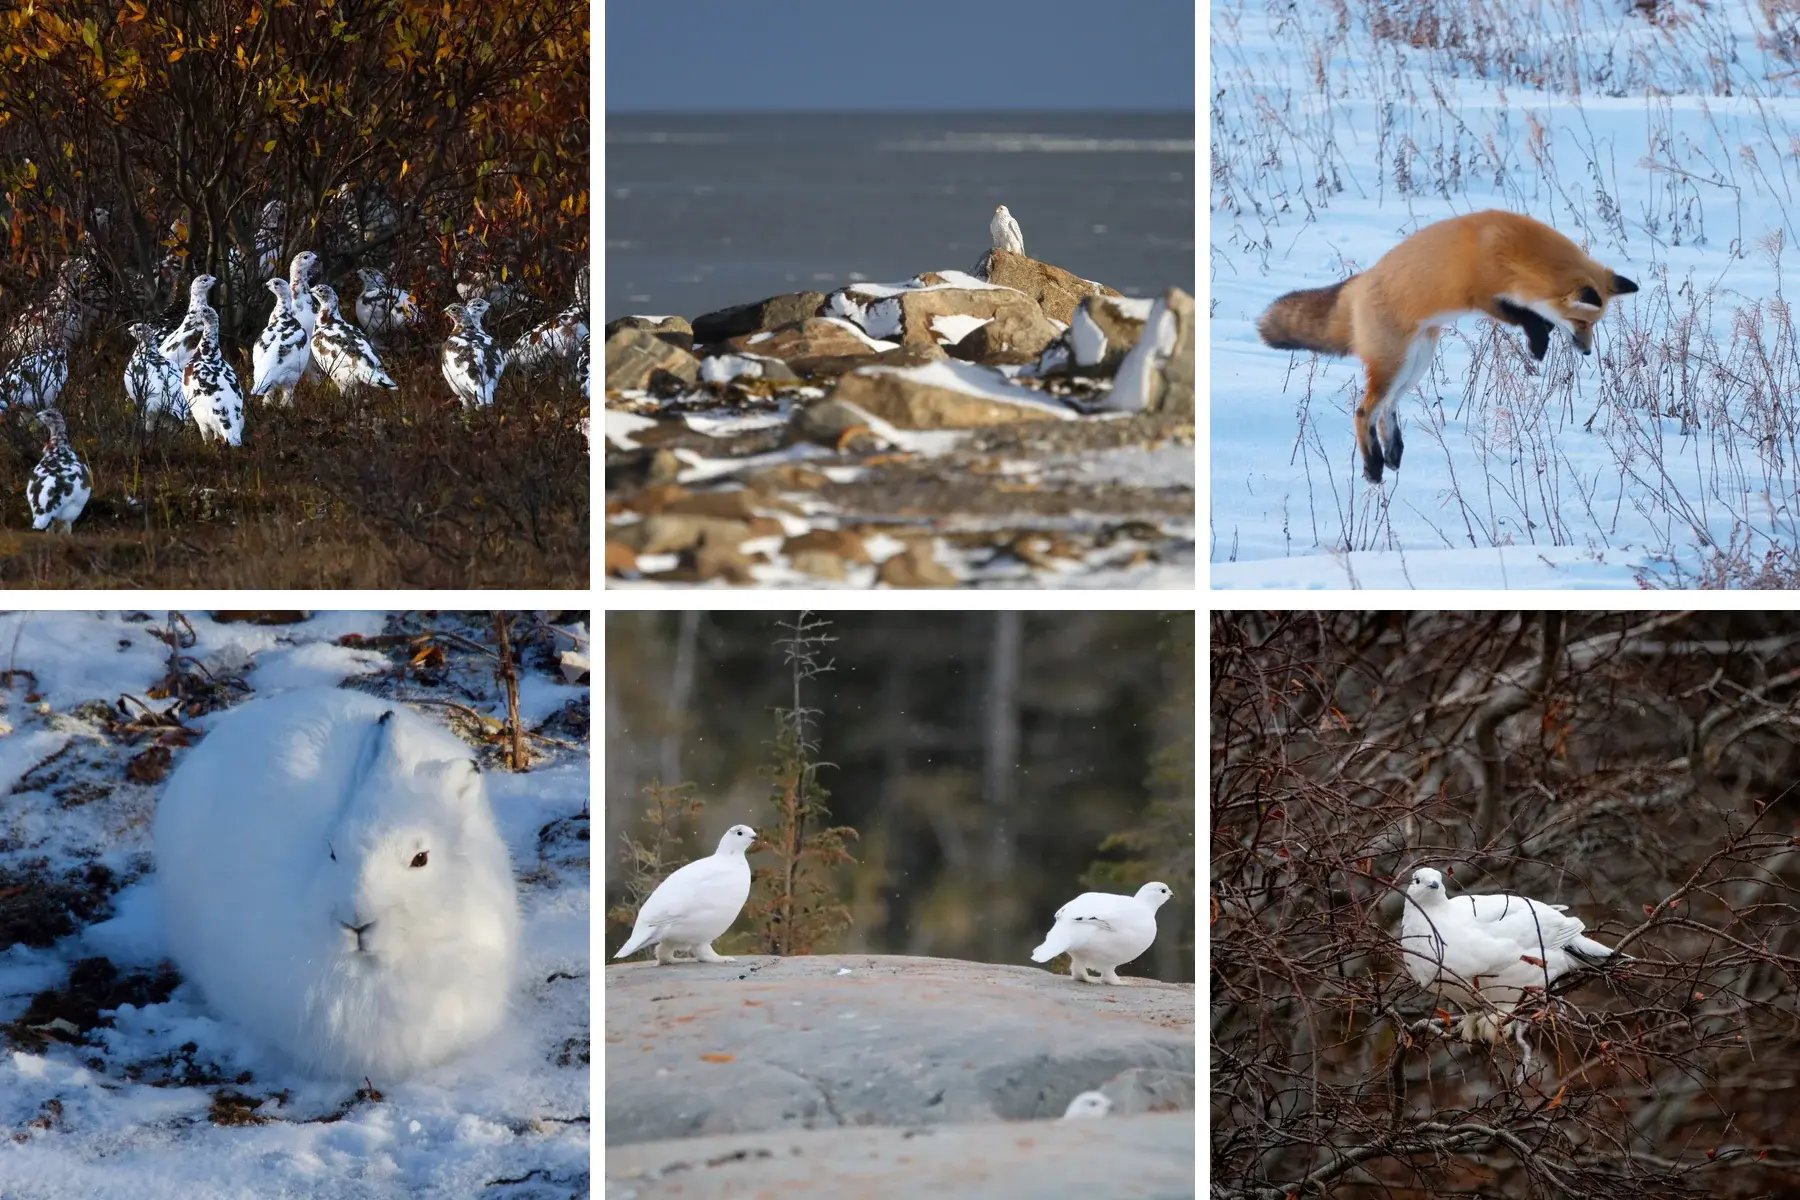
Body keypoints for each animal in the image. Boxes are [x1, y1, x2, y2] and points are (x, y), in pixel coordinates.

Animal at [1257, 210, 1639, 484]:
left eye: (1594, 324)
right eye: (1582, 323)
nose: (1586, 352)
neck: (1514, 249)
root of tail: (1359, 283)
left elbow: (1532, 315)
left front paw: (1541, 336)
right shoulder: (1482, 294)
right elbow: (1523, 316)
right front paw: (1539, 343)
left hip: (1416, 364)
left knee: (1387, 408)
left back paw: (1392, 454)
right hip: (1395, 363)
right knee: (1364, 411)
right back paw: (1373, 467)